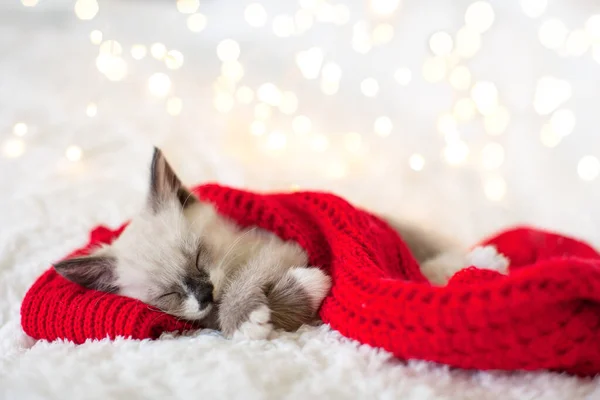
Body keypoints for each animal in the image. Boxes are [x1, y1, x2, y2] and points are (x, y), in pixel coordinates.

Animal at [55, 146, 464, 338]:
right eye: (168, 295)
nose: (204, 293)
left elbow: (240, 286)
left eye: (199, 257)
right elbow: (215, 316)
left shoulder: (279, 249)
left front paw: (245, 320)